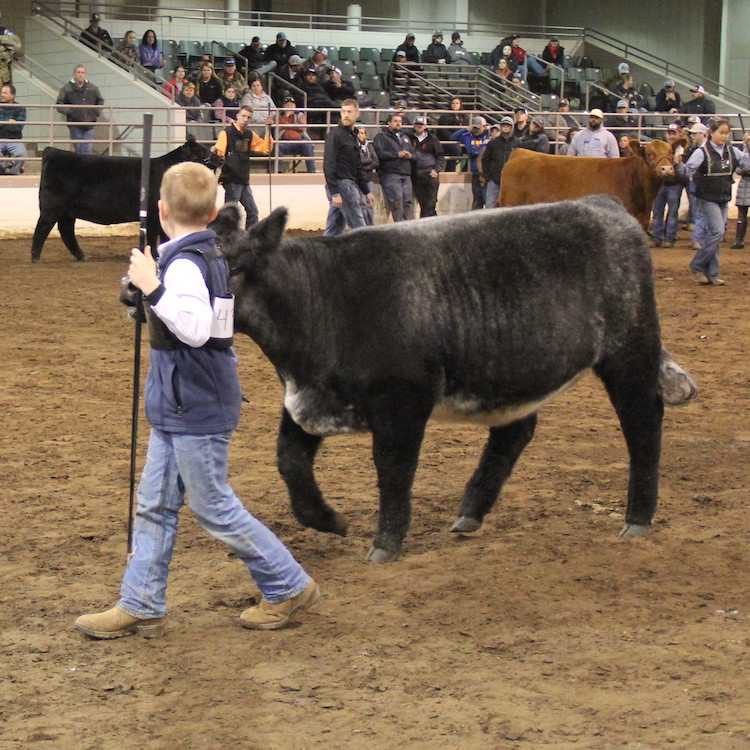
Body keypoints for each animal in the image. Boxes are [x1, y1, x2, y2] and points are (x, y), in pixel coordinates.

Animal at [32, 136, 220, 264]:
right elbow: (154, 236)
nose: (221, 158)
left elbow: (166, 236)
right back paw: (36, 257)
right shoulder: (153, 214)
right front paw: (154, 255)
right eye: (201, 151)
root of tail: (52, 151)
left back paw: (81, 256)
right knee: (42, 229)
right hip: (52, 208)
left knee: (66, 230)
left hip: (68, 211)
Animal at [216, 198, 700, 564]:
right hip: (516, 372)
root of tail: (603, 205)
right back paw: (470, 514)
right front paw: (330, 521)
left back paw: (638, 518)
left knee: (643, 423)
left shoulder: (404, 401)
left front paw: (384, 545)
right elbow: (290, 461)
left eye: (231, 267)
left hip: (630, 352)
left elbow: (393, 471)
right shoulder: (308, 399)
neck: (325, 299)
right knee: (516, 432)